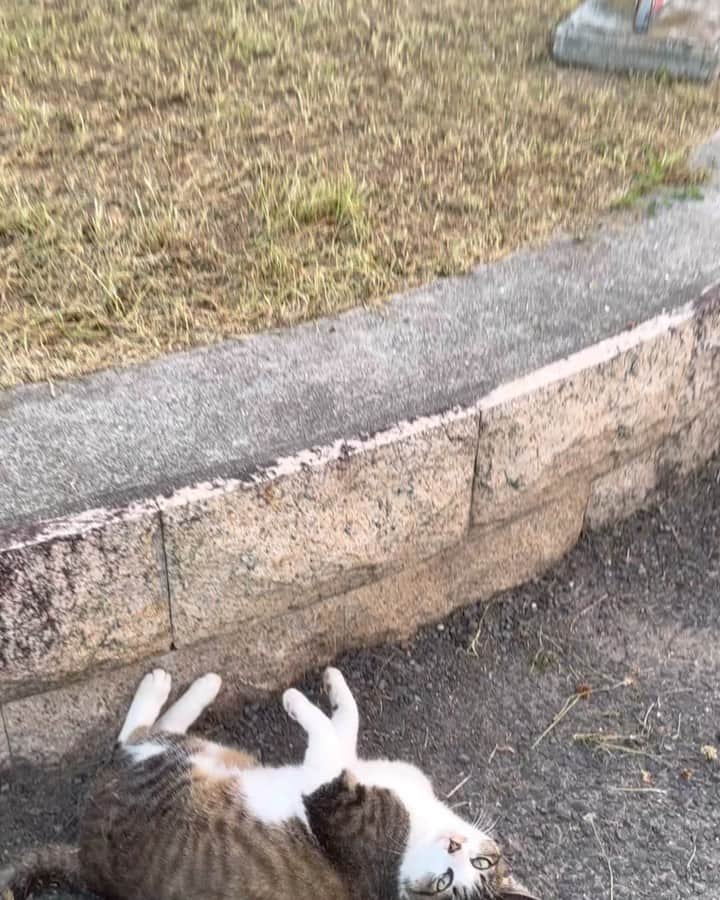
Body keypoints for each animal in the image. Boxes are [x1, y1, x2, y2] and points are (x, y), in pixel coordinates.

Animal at [1, 664, 540, 896]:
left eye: (449, 883)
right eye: (481, 861)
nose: (454, 849)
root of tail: (85, 861)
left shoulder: (333, 797)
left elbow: (323, 740)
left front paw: (296, 700)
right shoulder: (353, 766)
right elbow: (346, 723)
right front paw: (333, 683)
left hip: (170, 766)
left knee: (135, 737)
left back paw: (172, 686)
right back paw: (197, 685)